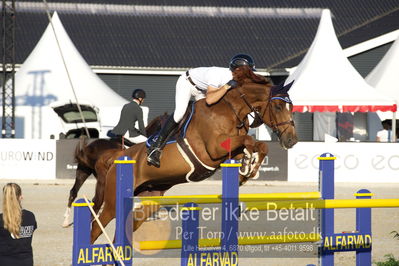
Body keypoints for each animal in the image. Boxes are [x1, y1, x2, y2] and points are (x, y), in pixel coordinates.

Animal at [90, 69, 296, 243]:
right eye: (278, 107)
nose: (292, 140)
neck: (231, 109)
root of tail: (117, 157)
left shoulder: (228, 151)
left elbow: (259, 146)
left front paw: (248, 171)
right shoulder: (213, 149)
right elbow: (248, 140)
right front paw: (249, 166)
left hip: (151, 196)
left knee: (130, 224)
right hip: (113, 201)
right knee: (96, 226)